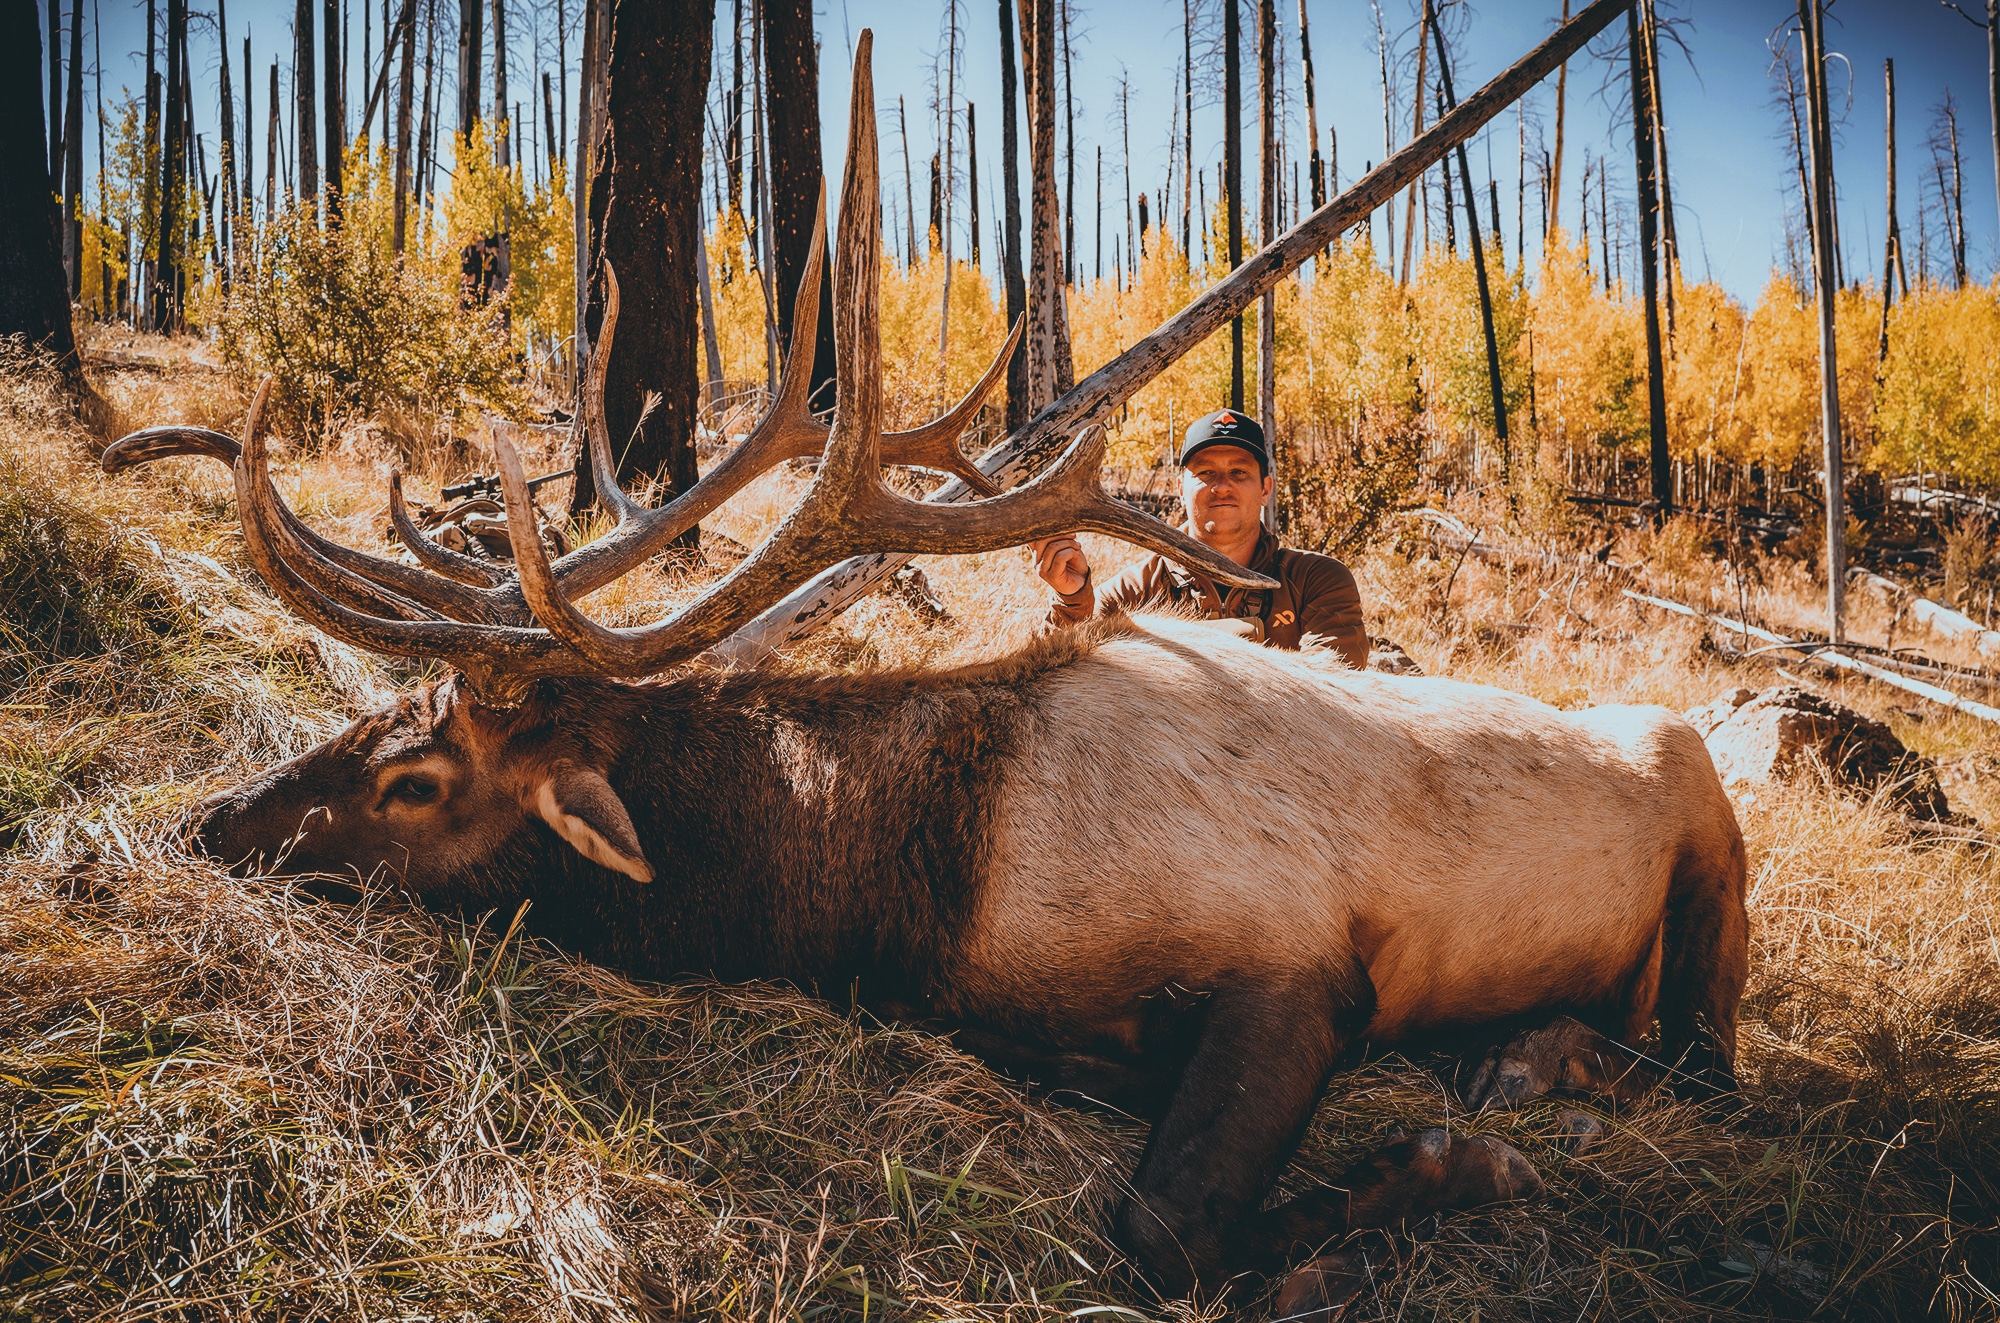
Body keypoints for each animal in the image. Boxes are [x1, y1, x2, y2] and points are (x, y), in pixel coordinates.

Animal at [101, 33, 1744, 1323]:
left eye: (414, 777)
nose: (212, 822)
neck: (918, 881)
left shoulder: (1301, 963)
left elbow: (1164, 1227)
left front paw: (1440, 1176)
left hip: (1708, 836)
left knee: (1705, 1064)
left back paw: (1537, 1071)